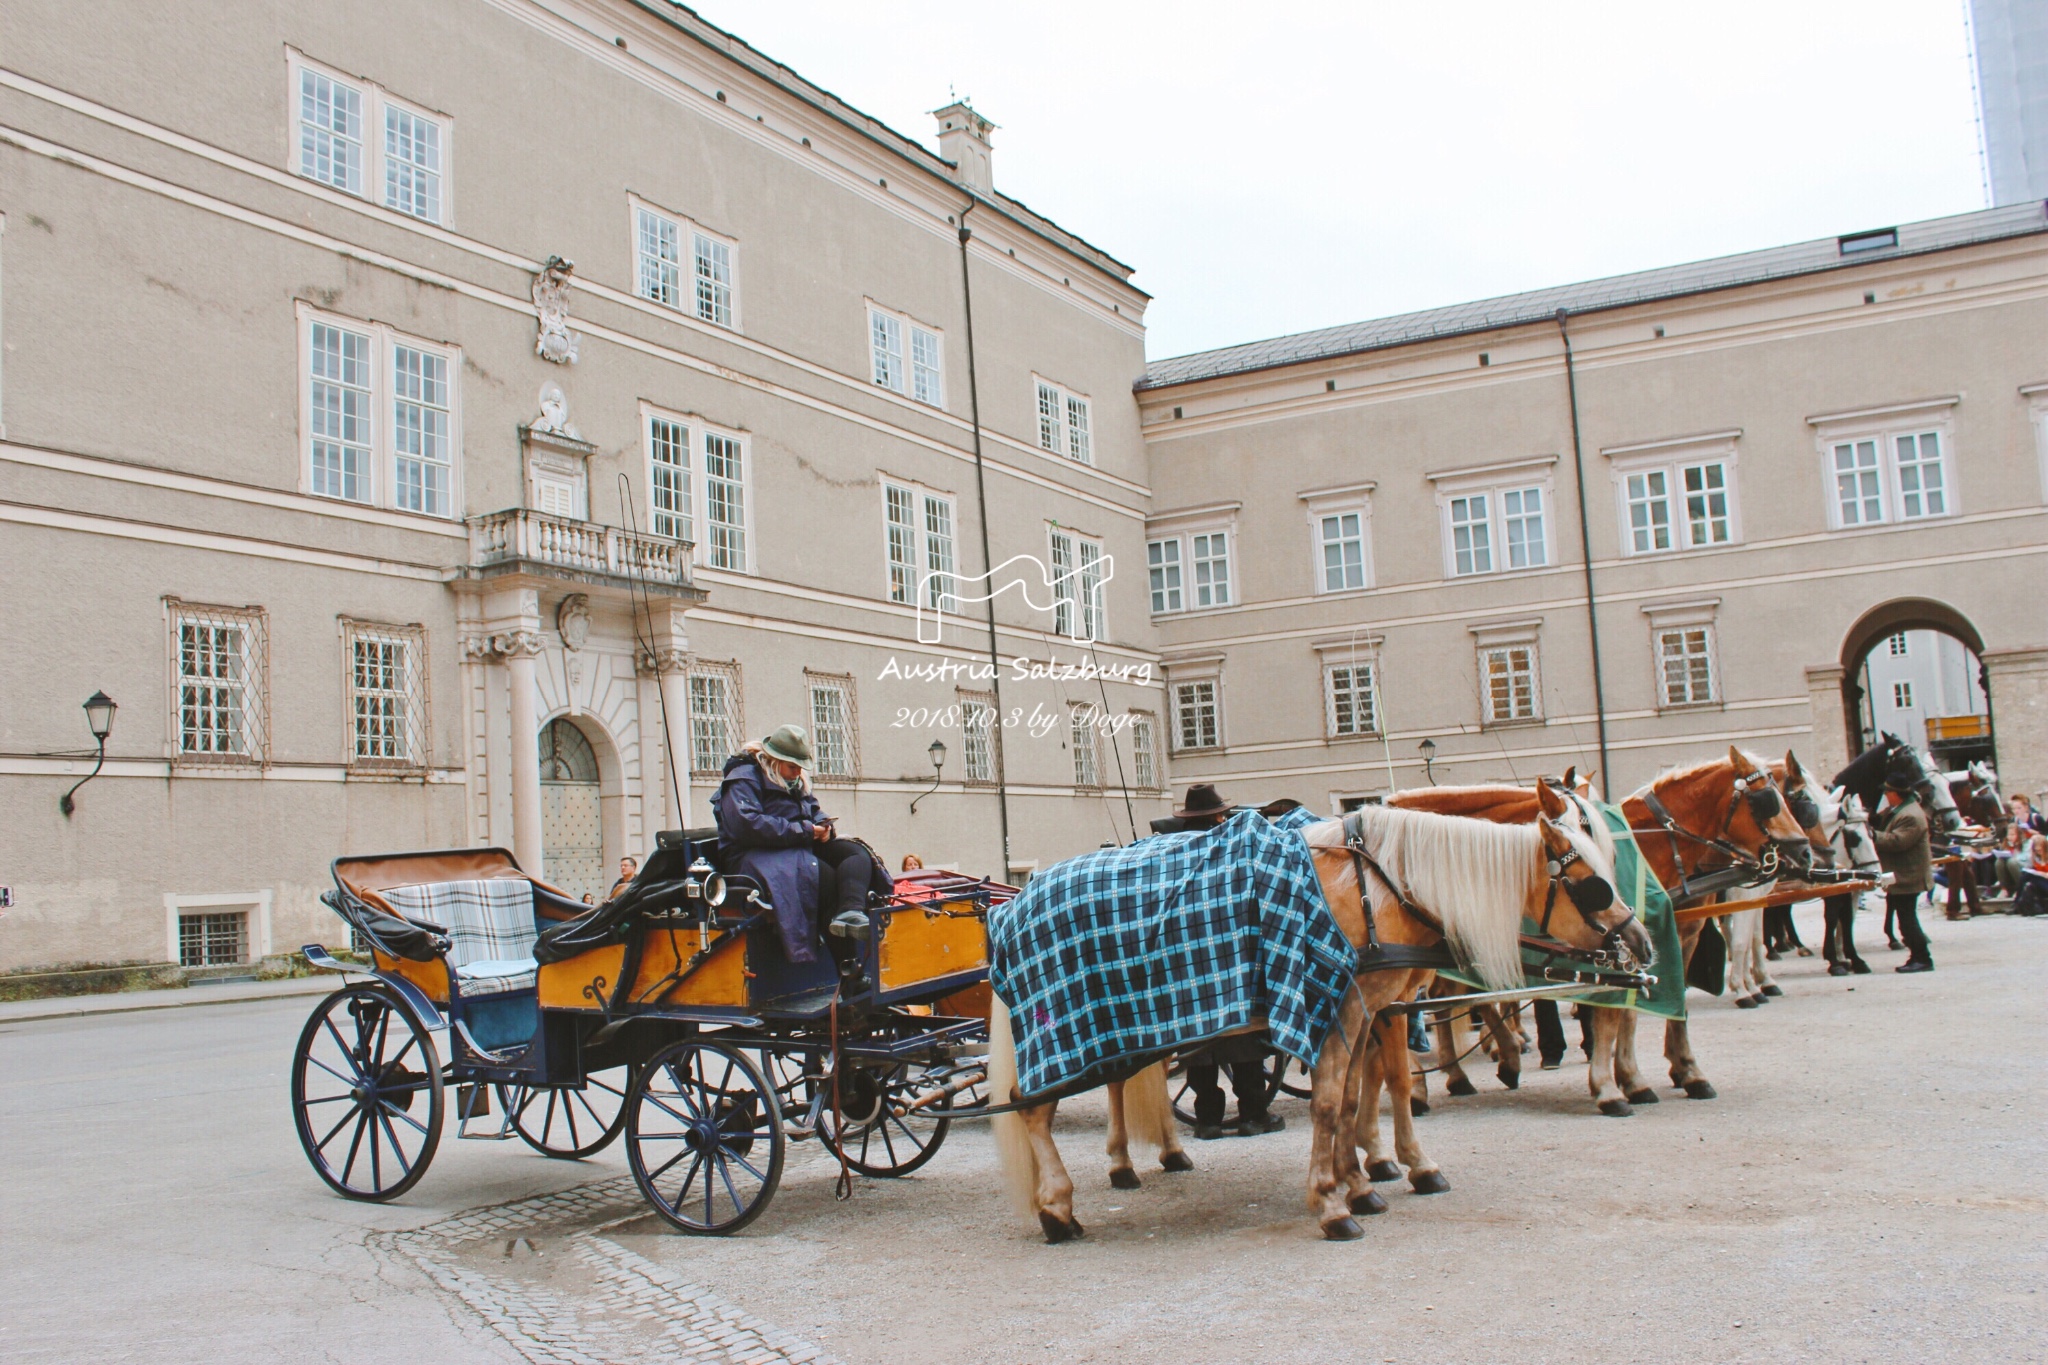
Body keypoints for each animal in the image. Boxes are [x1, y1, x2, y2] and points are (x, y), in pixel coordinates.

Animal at [987, 794, 1646, 1244]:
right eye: (1592, 882)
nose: (1639, 941)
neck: (1379, 883)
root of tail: (1012, 905)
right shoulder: (1344, 1007)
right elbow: (1334, 1103)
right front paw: (1333, 1203)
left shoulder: (1368, 1009)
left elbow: (1357, 1097)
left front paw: (1363, 1183)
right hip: (1060, 1033)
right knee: (1031, 1106)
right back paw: (1057, 1206)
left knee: (1094, 1090)